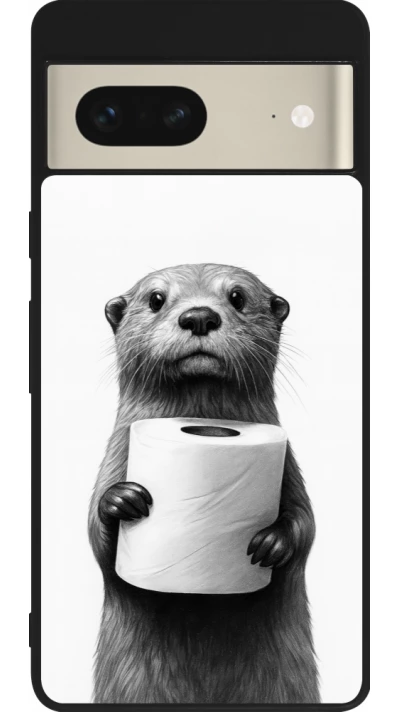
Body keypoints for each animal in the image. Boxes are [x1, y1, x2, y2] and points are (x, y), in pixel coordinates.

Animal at [88, 263, 319, 704]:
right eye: (156, 299)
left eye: (238, 297)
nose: (199, 316)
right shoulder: (114, 458)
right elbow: (96, 538)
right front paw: (121, 501)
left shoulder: (290, 468)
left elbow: (307, 524)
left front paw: (272, 542)